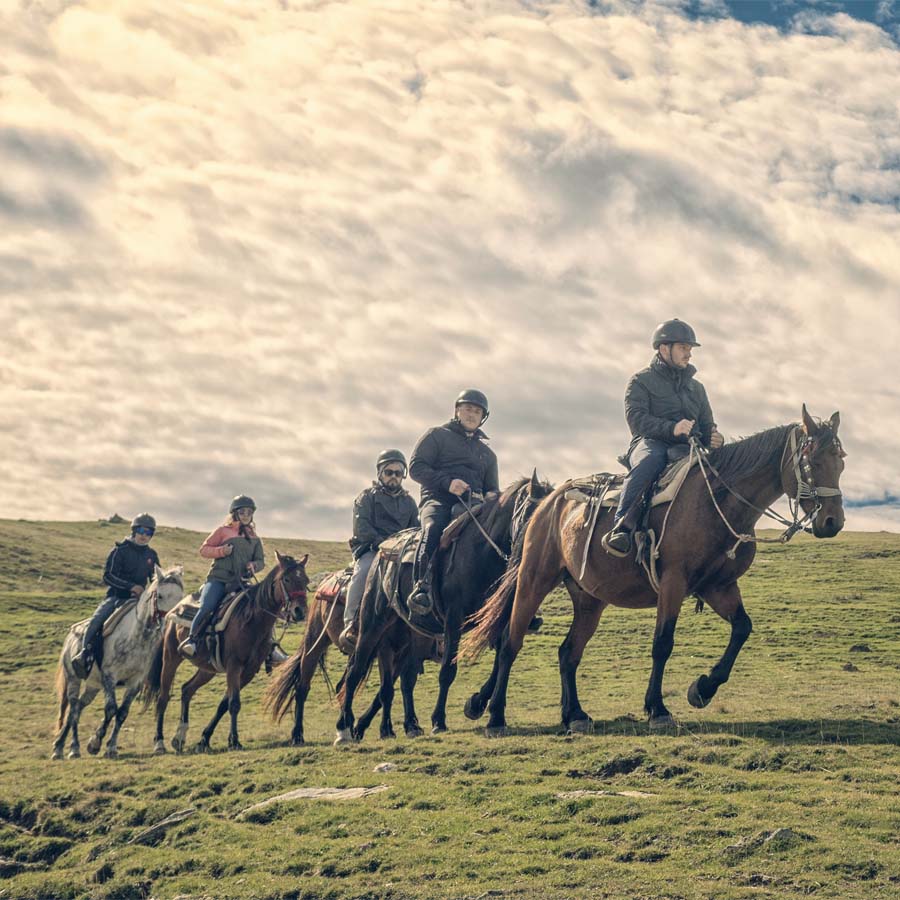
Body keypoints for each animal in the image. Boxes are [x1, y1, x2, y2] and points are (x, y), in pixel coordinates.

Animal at [51, 568, 185, 760]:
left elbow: (122, 713)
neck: (136, 638)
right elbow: (110, 709)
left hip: (93, 686)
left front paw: (110, 746)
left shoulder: (135, 682)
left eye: (180, 597)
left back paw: (63, 746)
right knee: (74, 708)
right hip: (74, 679)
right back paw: (70, 748)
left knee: (76, 709)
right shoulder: (110, 677)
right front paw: (95, 743)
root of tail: (71, 636)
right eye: (159, 595)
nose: (171, 622)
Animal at [142, 552, 308, 756]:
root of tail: (174, 610)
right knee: (163, 698)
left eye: (305, 580)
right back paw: (159, 742)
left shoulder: (248, 671)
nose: (300, 612)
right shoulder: (234, 666)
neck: (251, 620)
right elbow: (234, 703)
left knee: (187, 689)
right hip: (171, 658)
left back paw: (179, 737)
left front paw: (204, 739)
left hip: (207, 669)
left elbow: (225, 703)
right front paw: (234, 740)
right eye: (287, 579)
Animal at [262, 576, 442, 744]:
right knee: (302, 688)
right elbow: (388, 690)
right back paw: (298, 734)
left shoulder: (408, 651)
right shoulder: (387, 649)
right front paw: (386, 729)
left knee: (342, 685)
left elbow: (395, 688)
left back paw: (346, 722)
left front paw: (409, 726)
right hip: (315, 642)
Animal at [334, 472, 552, 744]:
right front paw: (439, 720)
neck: (483, 554)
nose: (536, 560)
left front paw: (477, 705)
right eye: (532, 516)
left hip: (411, 635)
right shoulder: (453, 620)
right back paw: (344, 728)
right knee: (355, 671)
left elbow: (502, 658)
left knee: (403, 678)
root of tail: (383, 551)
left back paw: (404, 725)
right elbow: (448, 669)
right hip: (373, 624)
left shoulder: (499, 621)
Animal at [460, 404, 848, 736]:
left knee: (568, 653)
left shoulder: (718, 586)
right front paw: (658, 709)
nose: (833, 522)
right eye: (813, 460)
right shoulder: (673, 583)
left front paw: (702, 689)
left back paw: (574, 715)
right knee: (510, 643)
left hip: (589, 599)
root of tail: (549, 502)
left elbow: (742, 629)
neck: (718, 502)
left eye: (841, 462)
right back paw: (496, 717)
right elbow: (663, 643)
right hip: (534, 581)